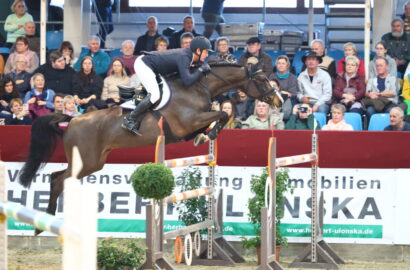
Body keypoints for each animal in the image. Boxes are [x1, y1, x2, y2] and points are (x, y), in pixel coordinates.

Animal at [18, 62, 282, 233]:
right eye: (261, 80)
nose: (278, 101)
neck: (198, 87)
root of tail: (71, 120)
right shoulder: (188, 122)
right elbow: (221, 113)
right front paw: (212, 132)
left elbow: (219, 116)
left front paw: (205, 136)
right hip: (86, 161)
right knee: (58, 180)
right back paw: (44, 224)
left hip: (94, 162)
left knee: (56, 177)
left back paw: (45, 221)